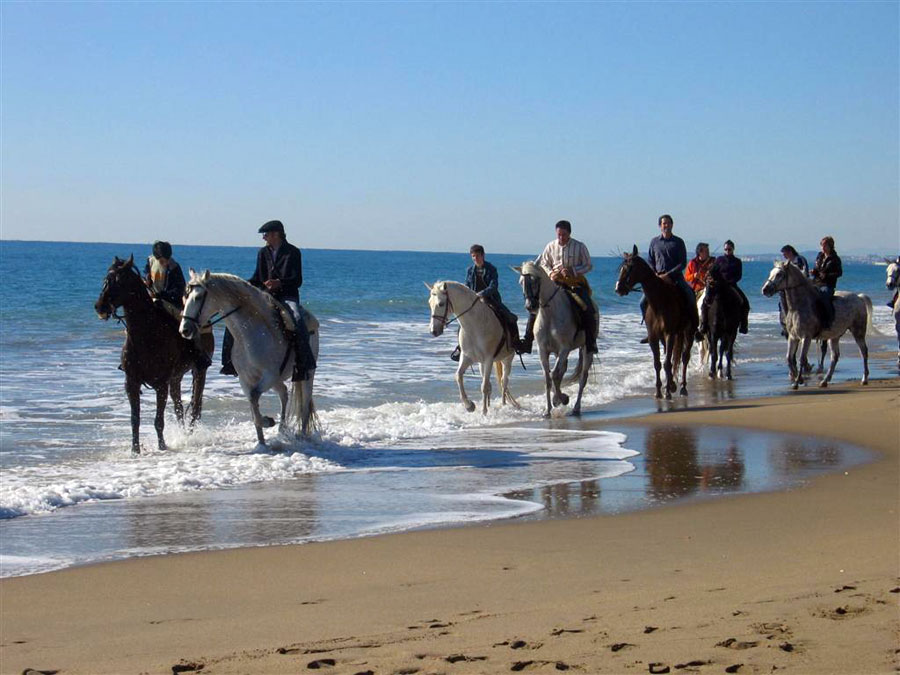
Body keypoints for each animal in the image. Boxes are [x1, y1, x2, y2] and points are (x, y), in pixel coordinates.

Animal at [94, 256, 214, 456]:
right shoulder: (132, 383)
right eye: (106, 278)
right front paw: (135, 449)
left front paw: (162, 446)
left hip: (199, 371)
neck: (147, 334)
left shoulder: (161, 384)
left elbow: (159, 420)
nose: (99, 307)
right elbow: (135, 419)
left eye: (118, 281)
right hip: (176, 378)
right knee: (179, 407)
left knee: (196, 406)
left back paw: (190, 434)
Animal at [178, 272, 318, 446]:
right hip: (277, 380)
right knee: (284, 393)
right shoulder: (245, 379)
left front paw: (267, 422)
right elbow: (252, 403)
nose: (184, 330)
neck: (251, 334)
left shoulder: (269, 376)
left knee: (304, 405)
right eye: (185, 296)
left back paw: (302, 436)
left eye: (198, 297)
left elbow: (255, 397)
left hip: (307, 374)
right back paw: (281, 429)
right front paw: (262, 440)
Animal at [426, 282, 516, 418]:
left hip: (507, 359)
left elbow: (484, 386)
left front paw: (483, 412)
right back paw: (490, 405)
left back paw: (503, 405)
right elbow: (458, 376)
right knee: (491, 384)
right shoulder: (467, 357)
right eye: (429, 303)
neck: (474, 325)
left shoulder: (488, 359)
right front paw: (469, 406)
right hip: (481, 364)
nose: (433, 331)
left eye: (441, 304)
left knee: (503, 381)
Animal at [516, 260, 596, 414]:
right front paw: (548, 409)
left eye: (535, 280)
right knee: (562, 371)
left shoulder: (564, 348)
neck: (550, 315)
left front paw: (562, 399)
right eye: (521, 282)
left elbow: (553, 374)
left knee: (582, 377)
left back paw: (576, 407)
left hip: (585, 349)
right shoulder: (543, 350)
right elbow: (548, 377)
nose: (530, 306)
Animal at [616, 246, 700, 398]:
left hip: (688, 333)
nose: (618, 288)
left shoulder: (669, 334)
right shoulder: (654, 337)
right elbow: (658, 363)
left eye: (630, 268)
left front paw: (668, 391)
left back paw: (683, 387)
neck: (660, 302)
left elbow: (667, 363)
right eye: (621, 268)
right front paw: (660, 390)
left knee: (685, 357)